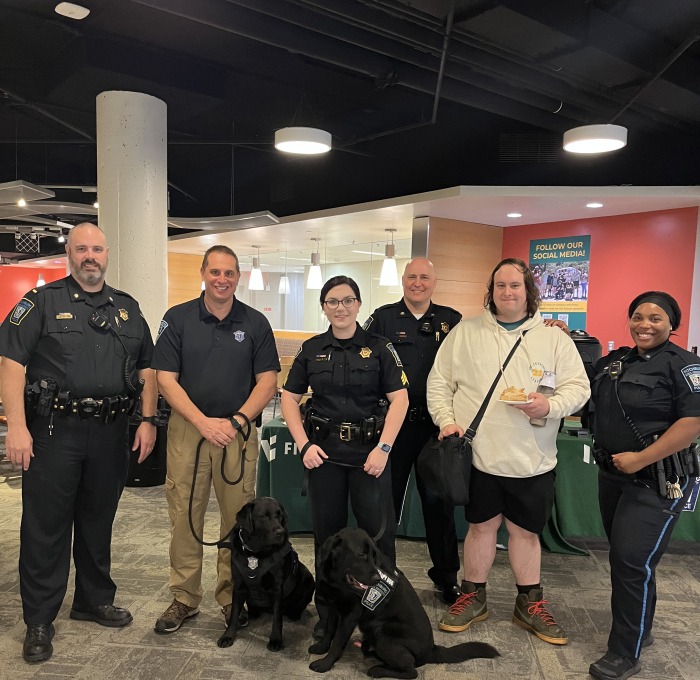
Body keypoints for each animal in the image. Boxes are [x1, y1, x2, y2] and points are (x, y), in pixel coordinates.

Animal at [219, 496, 314, 652]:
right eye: (263, 516)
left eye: (279, 515)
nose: (281, 532)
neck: (256, 553)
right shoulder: (238, 586)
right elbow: (234, 614)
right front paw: (227, 636)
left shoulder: (277, 589)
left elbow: (277, 618)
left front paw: (275, 640)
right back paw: (253, 612)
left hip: (309, 578)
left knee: (299, 605)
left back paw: (294, 613)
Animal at [310, 528, 498, 676]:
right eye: (361, 554)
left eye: (374, 556)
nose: (377, 579)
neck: (338, 580)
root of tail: (431, 650)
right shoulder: (333, 606)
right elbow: (329, 632)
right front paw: (321, 648)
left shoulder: (350, 615)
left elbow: (337, 642)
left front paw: (325, 664)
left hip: (383, 634)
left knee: (411, 671)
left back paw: (377, 670)